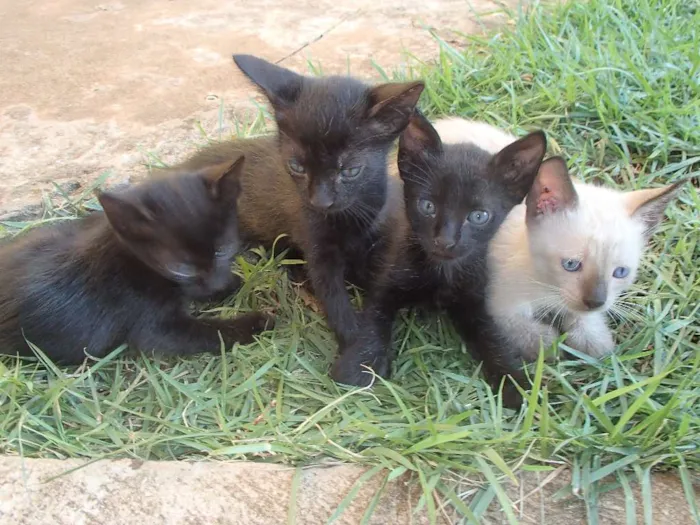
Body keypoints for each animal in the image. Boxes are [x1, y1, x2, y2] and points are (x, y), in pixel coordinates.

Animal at [0, 154, 272, 362]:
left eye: (222, 250)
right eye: (181, 267)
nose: (216, 283)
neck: (132, 262)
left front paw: (231, 284)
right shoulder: (150, 320)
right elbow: (204, 333)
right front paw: (257, 322)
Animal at [174, 55, 422, 348]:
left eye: (350, 171)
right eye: (296, 167)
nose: (320, 201)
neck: (350, 216)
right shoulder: (315, 244)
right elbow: (332, 295)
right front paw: (353, 339)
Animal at [334, 110, 548, 398]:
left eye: (478, 216)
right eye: (427, 206)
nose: (445, 241)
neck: (442, 273)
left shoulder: (474, 301)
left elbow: (492, 340)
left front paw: (515, 385)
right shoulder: (386, 279)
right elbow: (374, 318)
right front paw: (360, 365)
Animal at [486, 156, 688, 360]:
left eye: (620, 272)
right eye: (571, 264)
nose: (595, 302)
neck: (547, 287)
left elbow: (587, 330)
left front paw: (596, 345)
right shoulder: (498, 307)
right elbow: (532, 336)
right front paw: (552, 348)